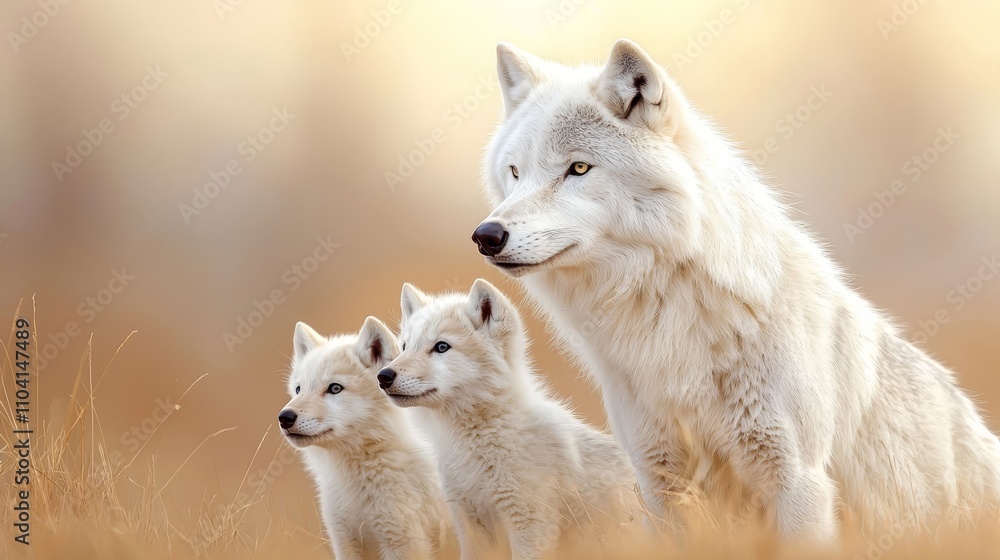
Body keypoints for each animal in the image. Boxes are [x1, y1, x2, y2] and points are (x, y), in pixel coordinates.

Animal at [470, 39, 1000, 540]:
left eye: (578, 169)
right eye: (515, 172)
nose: (487, 235)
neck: (668, 313)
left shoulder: (798, 481)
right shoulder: (659, 480)